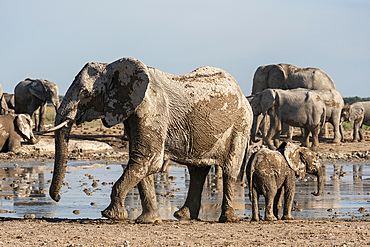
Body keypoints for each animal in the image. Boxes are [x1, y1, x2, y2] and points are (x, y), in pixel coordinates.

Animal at [49, 57, 253, 224]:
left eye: (85, 93)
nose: (57, 198)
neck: (113, 67)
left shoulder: (151, 110)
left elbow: (146, 160)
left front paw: (111, 215)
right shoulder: (133, 111)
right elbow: (142, 162)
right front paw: (149, 220)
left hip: (241, 126)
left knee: (230, 169)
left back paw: (227, 219)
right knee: (197, 171)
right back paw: (183, 216)